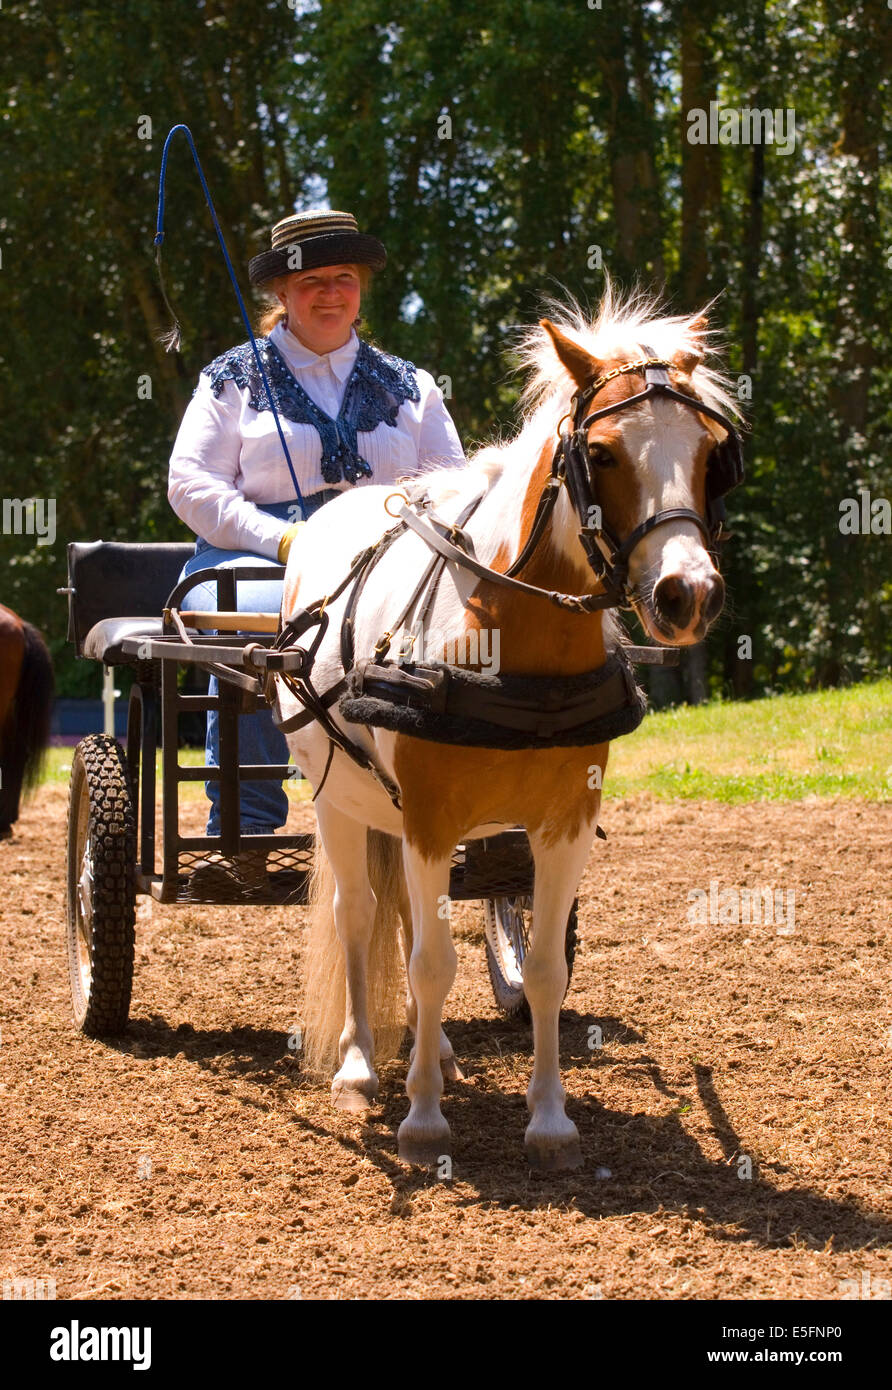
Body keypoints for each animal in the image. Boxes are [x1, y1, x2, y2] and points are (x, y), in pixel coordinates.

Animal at [275, 287, 741, 1169]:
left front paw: (550, 1118)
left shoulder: (563, 821)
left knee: (401, 918)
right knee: (360, 917)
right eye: (603, 454)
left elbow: (546, 972)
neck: (510, 635)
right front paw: (423, 1119)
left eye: (712, 453)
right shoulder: (428, 818)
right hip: (338, 799)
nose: (687, 594)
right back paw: (362, 1068)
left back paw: (437, 1053)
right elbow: (430, 963)